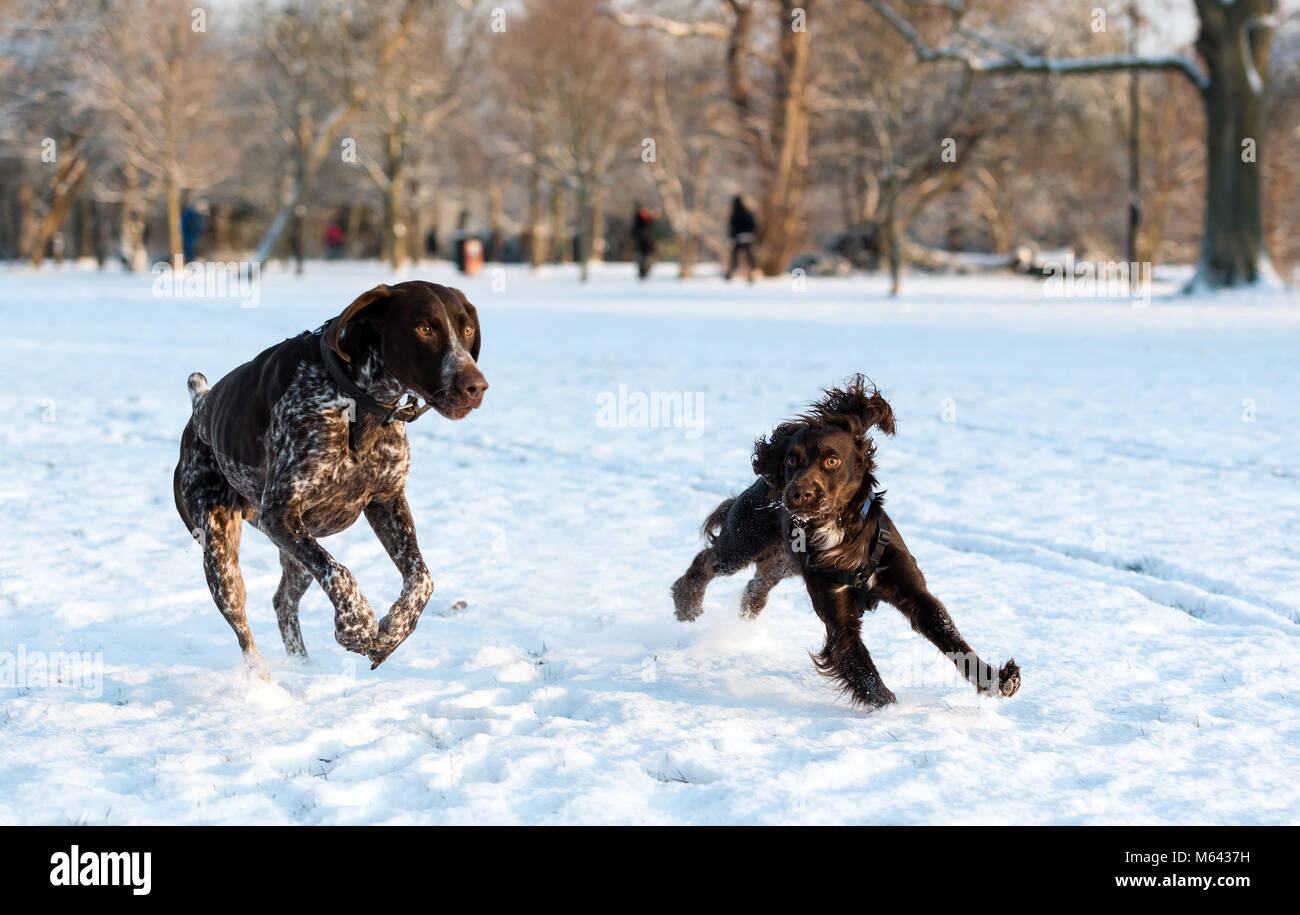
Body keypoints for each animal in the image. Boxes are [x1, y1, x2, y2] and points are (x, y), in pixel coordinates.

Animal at [172, 278, 488, 670]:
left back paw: (303, 667)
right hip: (221, 552)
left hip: (294, 553)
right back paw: (263, 679)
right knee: (244, 629)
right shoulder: (280, 514)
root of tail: (200, 406)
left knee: (283, 601)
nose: (476, 386)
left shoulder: (386, 502)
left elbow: (422, 578)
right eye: (424, 328)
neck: (358, 405)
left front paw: (392, 631)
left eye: (467, 329)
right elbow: (340, 573)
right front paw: (358, 626)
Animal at [676, 374, 1019, 712]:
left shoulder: (915, 595)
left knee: (757, 582)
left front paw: (997, 680)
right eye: (791, 460)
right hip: (743, 542)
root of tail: (764, 482)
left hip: (783, 563)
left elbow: (952, 639)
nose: (798, 494)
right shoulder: (839, 620)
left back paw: (748, 611)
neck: (840, 530)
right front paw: (894, 712)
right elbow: (863, 672)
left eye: (832, 460)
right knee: (708, 561)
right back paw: (686, 603)